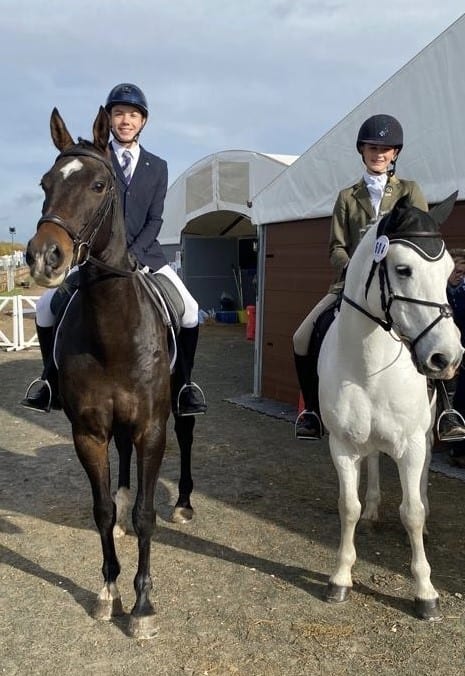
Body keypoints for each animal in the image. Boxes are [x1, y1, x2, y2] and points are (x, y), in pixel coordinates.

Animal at [25, 107, 194, 640]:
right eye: (45, 183)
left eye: (101, 185)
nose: (44, 256)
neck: (113, 330)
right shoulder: (89, 432)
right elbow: (101, 512)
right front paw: (109, 591)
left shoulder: (153, 428)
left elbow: (146, 515)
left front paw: (142, 605)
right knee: (120, 468)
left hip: (178, 407)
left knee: (187, 436)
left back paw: (185, 503)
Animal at [318, 193, 462, 620]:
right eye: (403, 269)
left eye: (449, 272)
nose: (447, 358)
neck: (369, 365)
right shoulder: (342, 445)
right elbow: (347, 506)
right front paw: (340, 578)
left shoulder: (411, 444)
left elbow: (411, 512)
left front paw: (426, 593)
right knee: (373, 463)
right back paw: (372, 513)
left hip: (426, 432)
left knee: (424, 474)